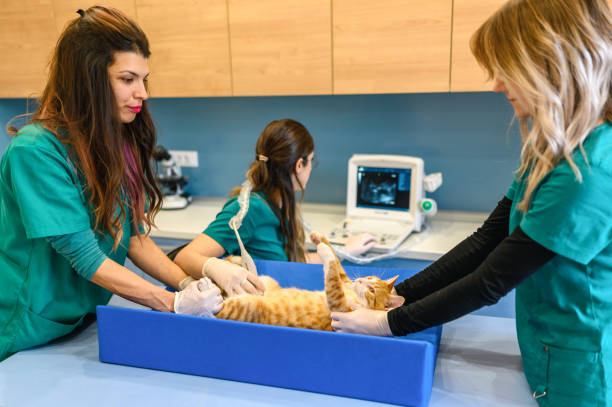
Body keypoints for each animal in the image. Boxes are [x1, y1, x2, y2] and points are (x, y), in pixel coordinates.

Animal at [208, 239, 404, 332]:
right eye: (369, 277)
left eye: (372, 290)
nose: (361, 281)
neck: (354, 296)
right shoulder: (344, 282)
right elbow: (338, 266)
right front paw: (321, 241)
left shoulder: (338, 305)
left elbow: (332, 268)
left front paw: (324, 250)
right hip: (264, 281)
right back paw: (234, 261)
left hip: (246, 306)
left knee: (212, 308)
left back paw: (202, 294)